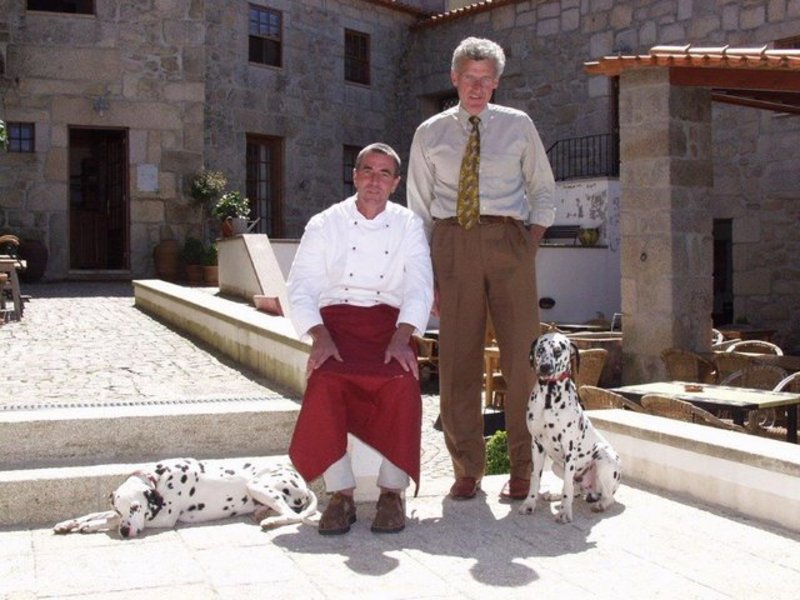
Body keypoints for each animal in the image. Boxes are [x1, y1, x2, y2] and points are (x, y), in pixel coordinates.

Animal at [53, 458, 319, 537]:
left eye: (137, 508)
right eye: (121, 509)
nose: (125, 532)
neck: (158, 477)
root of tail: (302, 481)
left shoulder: (164, 518)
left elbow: (107, 520)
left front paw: (91, 526)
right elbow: (99, 513)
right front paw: (69, 523)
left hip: (257, 484)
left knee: (292, 515)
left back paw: (271, 521)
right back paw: (264, 513)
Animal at [519, 332, 621, 523]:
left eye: (558, 350)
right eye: (540, 350)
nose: (544, 367)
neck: (549, 397)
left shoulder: (569, 448)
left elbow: (567, 486)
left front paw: (565, 512)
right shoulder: (537, 445)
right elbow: (535, 478)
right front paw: (529, 503)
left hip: (603, 458)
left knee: (607, 497)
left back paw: (600, 504)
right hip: (556, 466)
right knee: (577, 489)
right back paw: (554, 495)